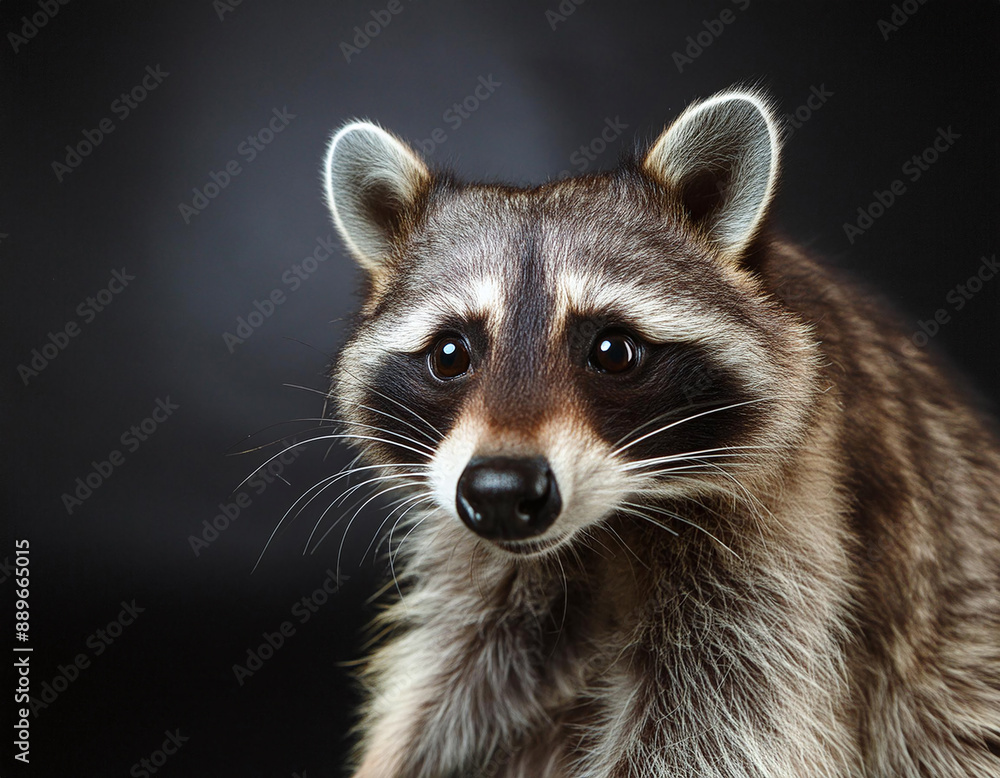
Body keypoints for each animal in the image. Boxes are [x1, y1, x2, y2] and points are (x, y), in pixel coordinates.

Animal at [320, 89, 1000, 777]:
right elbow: (455, 696)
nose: (501, 492)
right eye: (451, 353)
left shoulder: (786, 533)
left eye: (613, 351)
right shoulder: (485, 569)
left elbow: (719, 729)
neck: (606, 526)